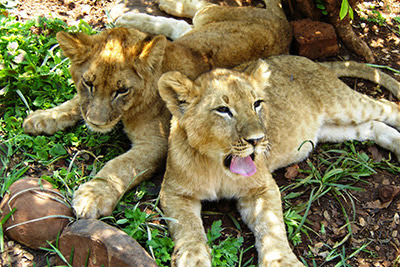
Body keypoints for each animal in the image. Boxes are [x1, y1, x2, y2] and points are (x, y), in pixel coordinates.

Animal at [22, 0, 290, 219]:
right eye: (88, 83)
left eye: (122, 90)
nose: (96, 123)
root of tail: (283, 21)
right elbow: (76, 103)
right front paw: (43, 117)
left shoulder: (157, 143)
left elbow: (120, 166)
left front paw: (93, 195)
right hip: (199, 28)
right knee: (183, 27)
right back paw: (133, 17)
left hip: (212, 14)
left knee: (199, 10)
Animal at [158, 55, 400, 266]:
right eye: (223, 110)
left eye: (256, 104)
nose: (257, 139)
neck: (218, 167)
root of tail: (310, 60)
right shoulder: (173, 191)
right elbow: (187, 227)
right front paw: (192, 259)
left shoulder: (262, 187)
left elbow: (271, 225)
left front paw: (283, 261)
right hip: (332, 130)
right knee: (373, 126)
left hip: (344, 106)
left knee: (388, 107)